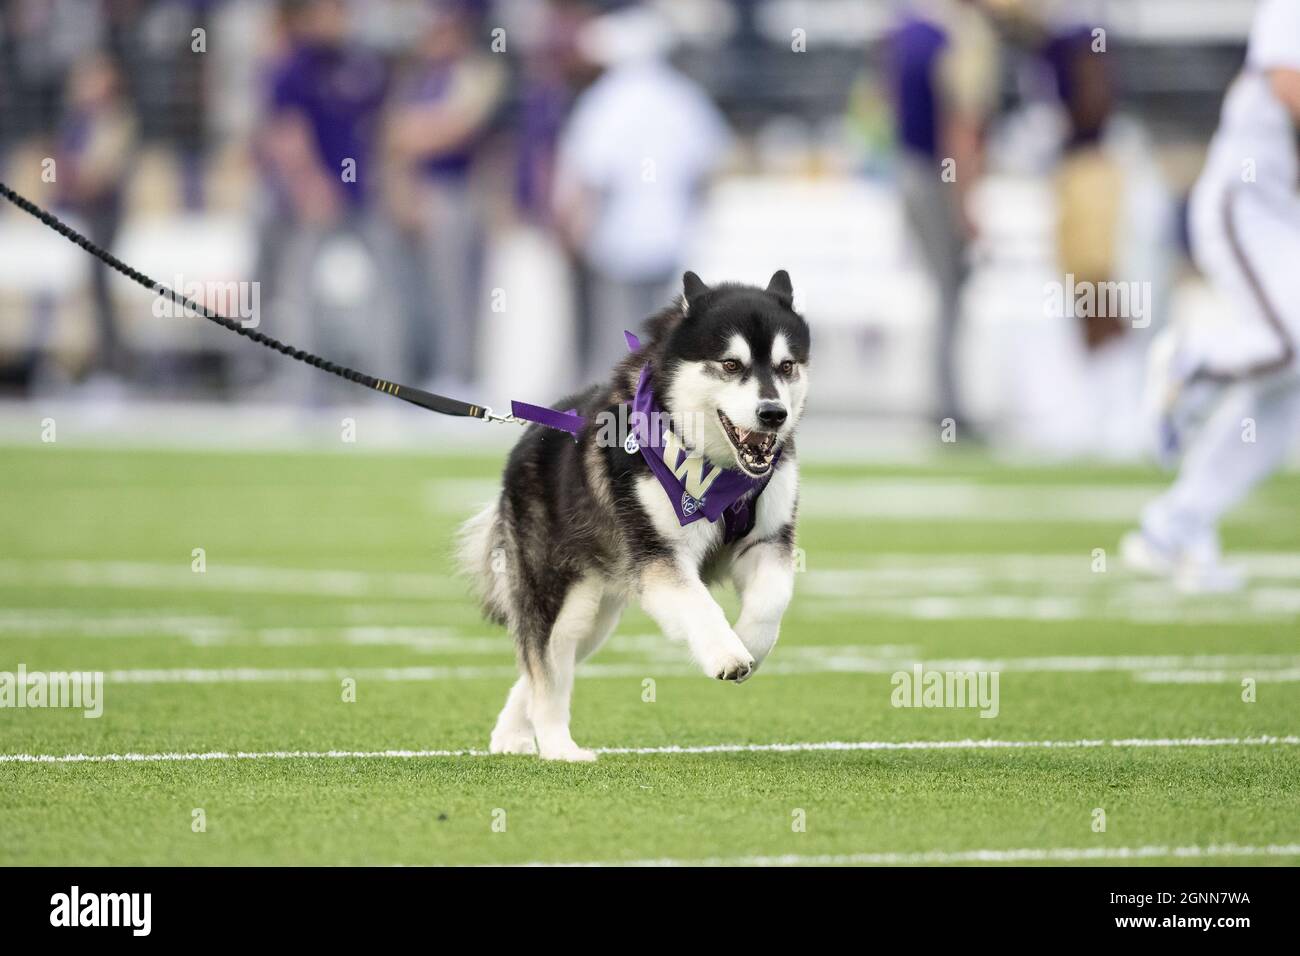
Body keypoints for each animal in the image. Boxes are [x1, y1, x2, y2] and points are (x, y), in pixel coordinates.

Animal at [454, 269, 800, 764]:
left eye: (787, 366)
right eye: (731, 365)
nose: (773, 414)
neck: (712, 464)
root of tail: (529, 434)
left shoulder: (768, 541)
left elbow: (772, 600)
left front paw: (749, 643)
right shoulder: (660, 557)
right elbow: (699, 606)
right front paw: (727, 654)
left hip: (597, 615)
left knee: (537, 672)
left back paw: (510, 735)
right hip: (560, 595)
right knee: (544, 671)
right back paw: (559, 748)